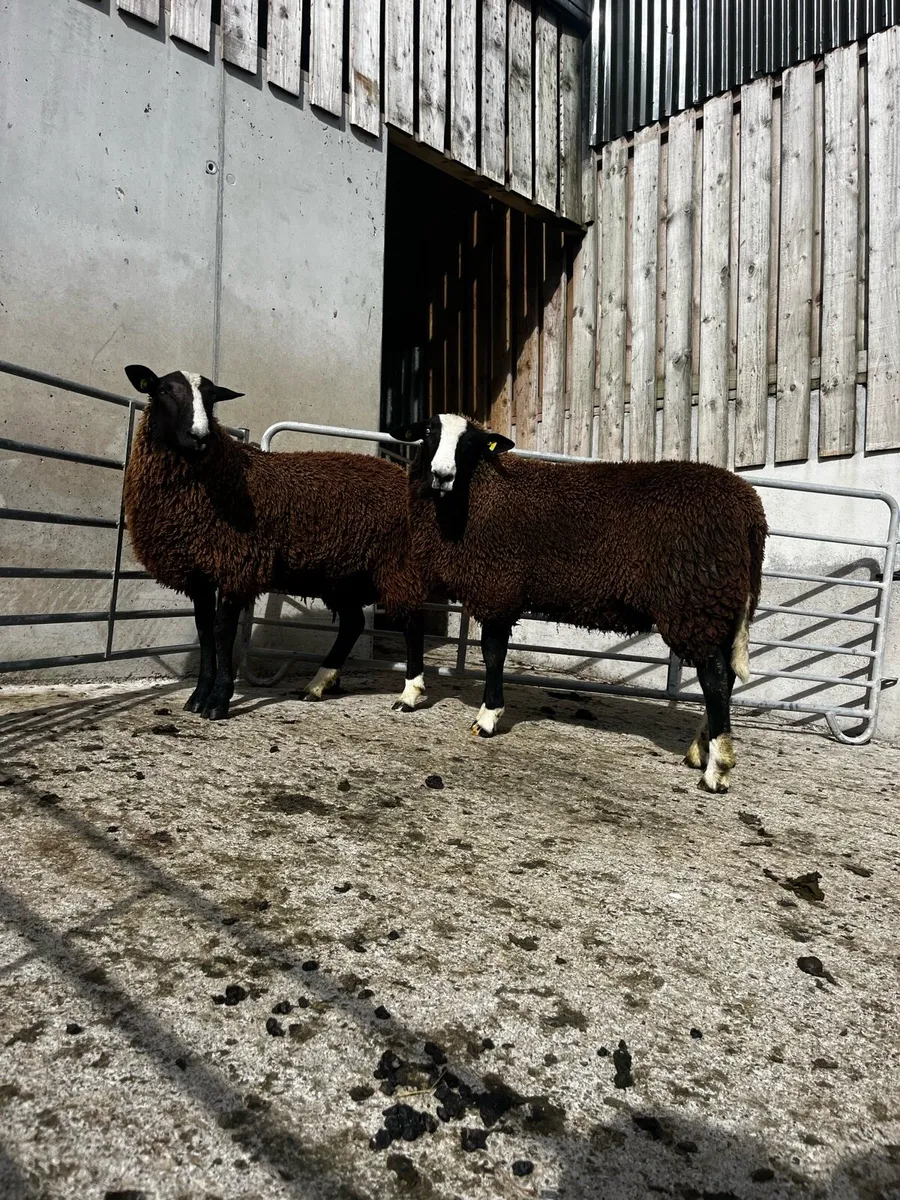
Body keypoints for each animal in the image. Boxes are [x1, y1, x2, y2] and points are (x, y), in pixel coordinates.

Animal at [123, 365, 427, 720]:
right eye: (164, 391)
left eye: (212, 399)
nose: (200, 436)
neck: (220, 473)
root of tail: (398, 474)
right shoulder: (198, 571)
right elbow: (204, 631)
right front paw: (198, 697)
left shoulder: (236, 564)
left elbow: (222, 632)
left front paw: (218, 701)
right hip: (341, 576)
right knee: (353, 623)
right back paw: (317, 685)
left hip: (396, 563)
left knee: (412, 622)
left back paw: (409, 694)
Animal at [390, 413, 768, 793]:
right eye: (428, 432)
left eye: (470, 443)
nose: (442, 475)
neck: (474, 495)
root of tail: (750, 510)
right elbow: (415, 629)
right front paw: (411, 695)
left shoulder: (498, 585)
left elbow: (493, 654)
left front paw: (486, 718)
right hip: (717, 605)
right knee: (724, 677)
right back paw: (699, 752)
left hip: (695, 602)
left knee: (715, 678)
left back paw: (716, 770)